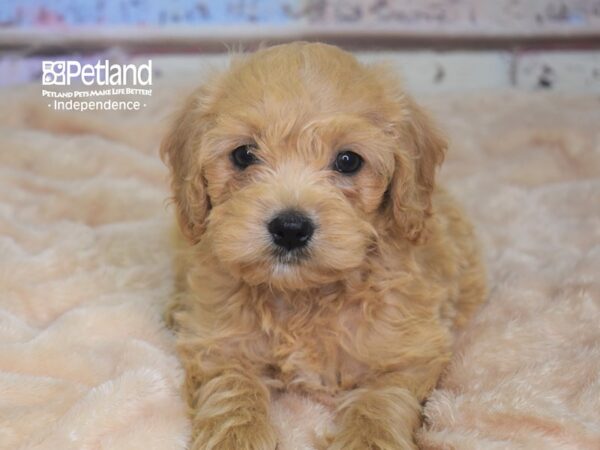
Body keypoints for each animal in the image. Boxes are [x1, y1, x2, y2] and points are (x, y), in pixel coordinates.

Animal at [162, 43, 486, 450]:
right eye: (244, 154)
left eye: (348, 161)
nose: (290, 228)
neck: (303, 296)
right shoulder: (218, 343)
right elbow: (231, 388)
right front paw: (237, 437)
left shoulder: (413, 353)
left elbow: (383, 400)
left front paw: (366, 439)